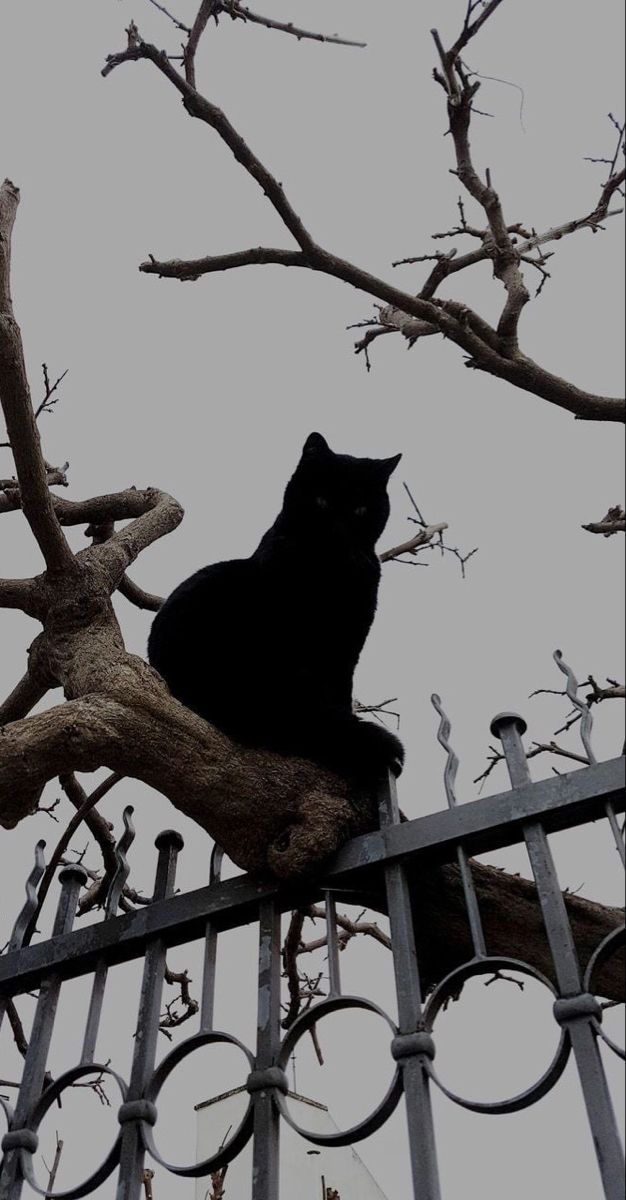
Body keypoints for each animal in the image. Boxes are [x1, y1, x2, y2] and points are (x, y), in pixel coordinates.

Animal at [146, 436, 402, 782]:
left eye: (360, 509)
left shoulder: (346, 648)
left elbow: (339, 694)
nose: (338, 529)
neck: (331, 574)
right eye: (322, 501)